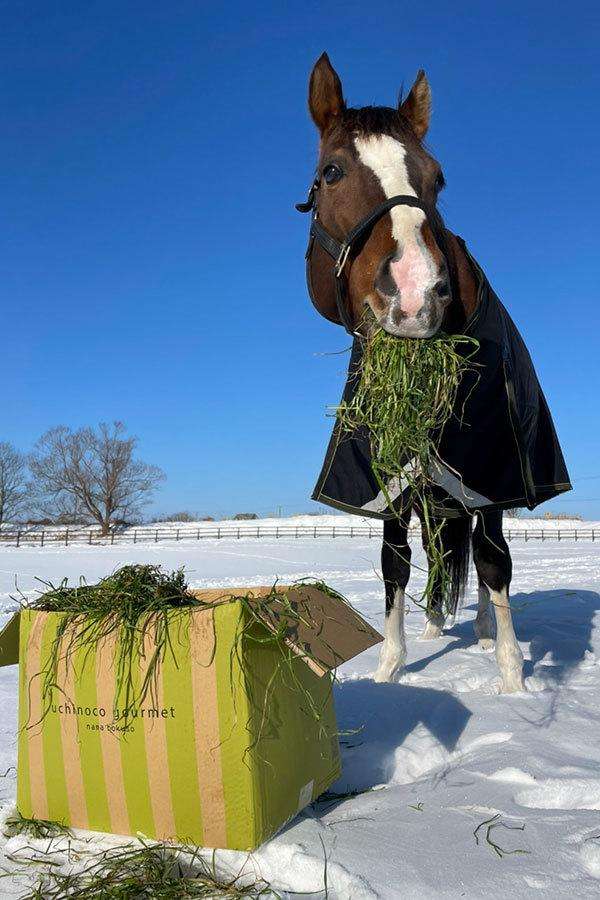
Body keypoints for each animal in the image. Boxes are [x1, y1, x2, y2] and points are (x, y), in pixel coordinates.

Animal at [300, 53, 530, 694]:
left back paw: (484, 633)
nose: (416, 292)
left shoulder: (490, 474)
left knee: (480, 554)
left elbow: (495, 563)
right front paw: (389, 671)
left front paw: (513, 684)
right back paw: (434, 627)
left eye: (438, 177)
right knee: (442, 551)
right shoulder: (389, 484)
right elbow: (394, 565)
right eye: (331, 171)